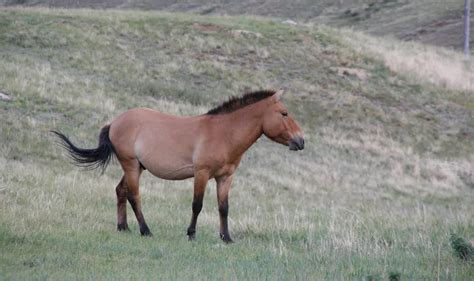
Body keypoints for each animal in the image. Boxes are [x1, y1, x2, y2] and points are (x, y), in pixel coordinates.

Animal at [51, 89, 304, 241]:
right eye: (284, 113)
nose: (301, 141)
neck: (223, 133)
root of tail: (114, 122)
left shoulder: (225, 177)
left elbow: (224, 207)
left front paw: (227, 238)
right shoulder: (201, 174)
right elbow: (197, 205)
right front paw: (191, 234)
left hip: (137, 167)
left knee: (120, 191)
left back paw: (123, 227)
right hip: (131, 165)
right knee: (134, 196)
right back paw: (145, 230)